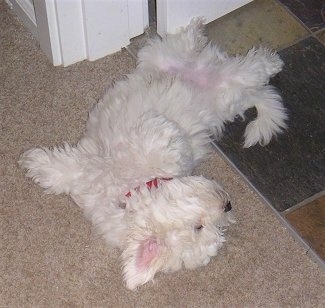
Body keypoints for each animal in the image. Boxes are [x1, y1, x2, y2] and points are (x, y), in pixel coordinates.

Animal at [18, 18, 286, 288]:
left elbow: (164, 140)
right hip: (169, 62)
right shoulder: (91, 167)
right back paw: (198, 35)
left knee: (250, 68)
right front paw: (34, 162)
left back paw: (267, 60)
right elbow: (65, 169)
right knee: (191, 51)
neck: (128, 190)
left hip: (220, 84)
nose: (228, 205)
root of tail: (206, 72)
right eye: (199, 227)